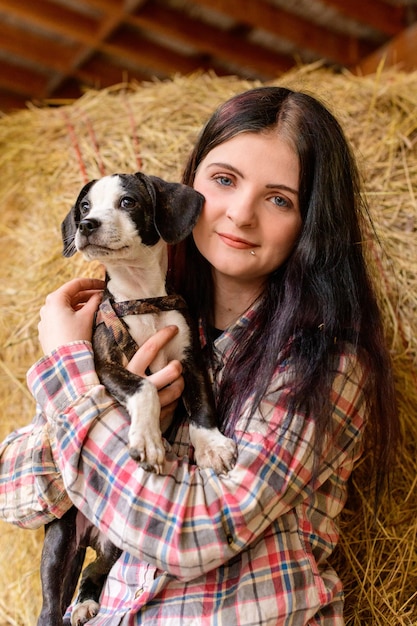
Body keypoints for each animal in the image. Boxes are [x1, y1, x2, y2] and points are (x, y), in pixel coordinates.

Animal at [39, 172, 237, 624]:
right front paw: (147, 440)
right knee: (51, 603)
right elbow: (144, 386)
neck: (142, 299)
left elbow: (202, 406)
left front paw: (212, 446)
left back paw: (88, 601)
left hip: (117, 546)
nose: (86, 225)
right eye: (84, 207)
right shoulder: (105, 365)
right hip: (59, 543)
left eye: (128, 202)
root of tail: (93, 533)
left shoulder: (190, 359)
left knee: (95, 570)